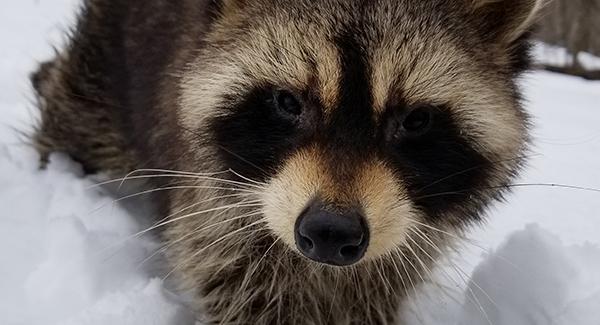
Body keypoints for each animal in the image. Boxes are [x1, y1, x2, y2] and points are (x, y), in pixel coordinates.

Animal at [30, 0, 540, 322]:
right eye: (287, 102)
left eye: (415, 120)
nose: (331, 232)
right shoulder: (217, 214)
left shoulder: (405, 236)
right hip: (102, 62)